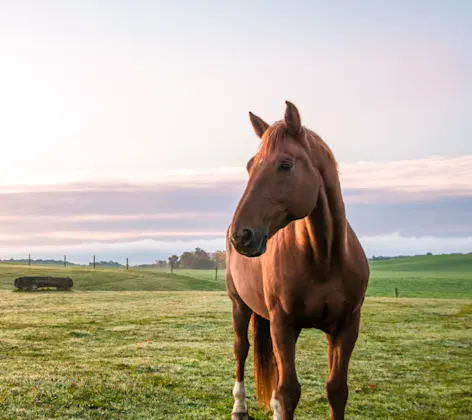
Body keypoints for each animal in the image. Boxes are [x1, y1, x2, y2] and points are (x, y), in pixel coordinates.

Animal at [225, 102, 368, 420]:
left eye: (285, 165)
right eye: (250, 166)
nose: (240, 235)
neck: (324, 259)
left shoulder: (346, 327)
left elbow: (336, 390)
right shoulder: (283, 323)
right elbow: (289, 391)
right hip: (240, 306)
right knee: (241, 349)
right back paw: (239, 407)